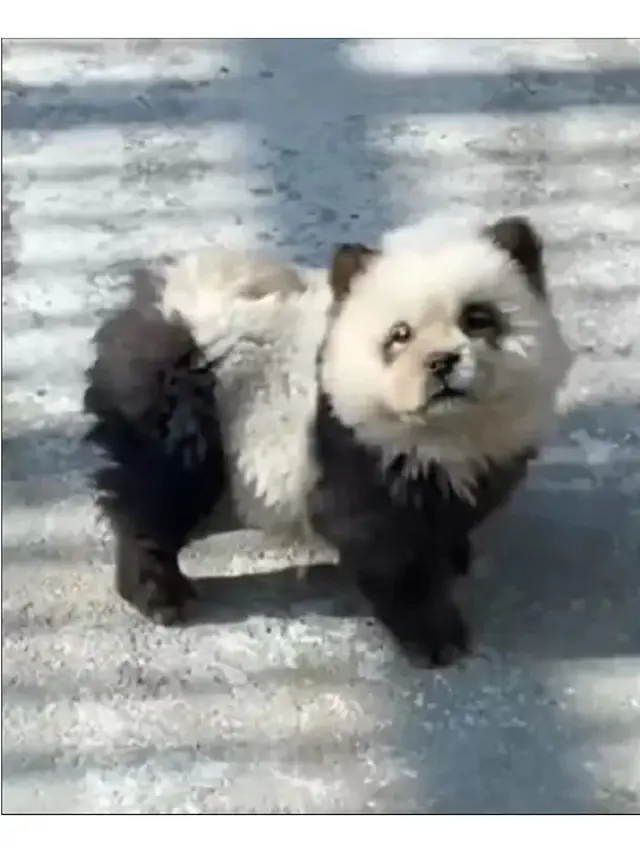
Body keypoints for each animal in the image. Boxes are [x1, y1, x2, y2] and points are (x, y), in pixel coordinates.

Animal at [83, 215, 573, 667]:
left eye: (478, 318)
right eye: (399, 334)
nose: (441, 362)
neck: (445, 429)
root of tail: (172, 304)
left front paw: (453, 555)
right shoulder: (355, 454)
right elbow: (389, 551)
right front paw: (435, 634)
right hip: (184, 410)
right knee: (157, 497)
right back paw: (159, 594)